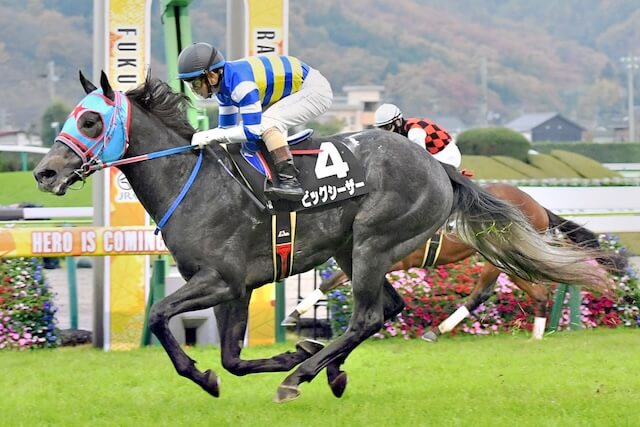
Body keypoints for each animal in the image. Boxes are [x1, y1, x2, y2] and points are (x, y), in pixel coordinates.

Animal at [283, 183, 622, 340]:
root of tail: (537, 206)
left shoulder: (393, 261)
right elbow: (330, 281)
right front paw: (293, 315)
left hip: (500, 257)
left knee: (484, 293)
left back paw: (439, 329)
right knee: (537, 293)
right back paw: (536, 336)